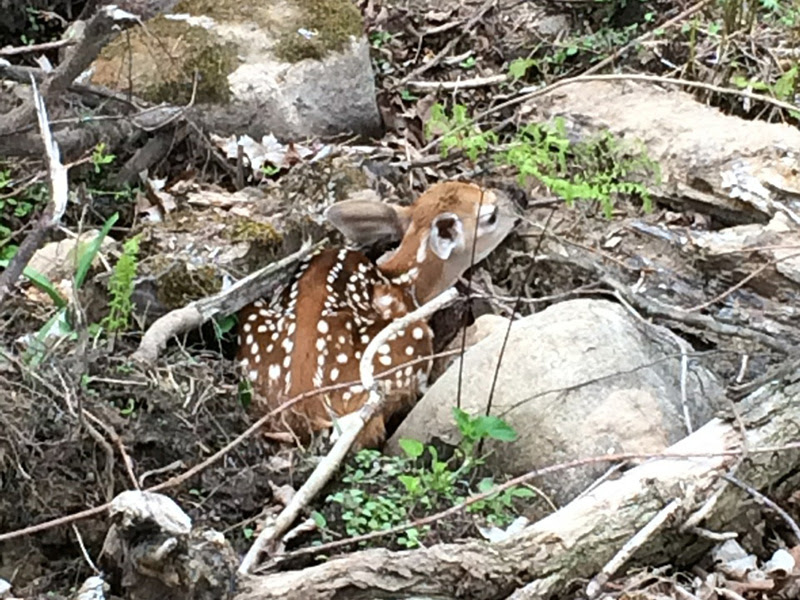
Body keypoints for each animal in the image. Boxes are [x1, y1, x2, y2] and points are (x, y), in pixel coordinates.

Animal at [236, 180, 519, 449]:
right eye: (492, 215)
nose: (517, 203)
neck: (405, 284)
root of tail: (307, 409)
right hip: (405, 346)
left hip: (253, 319)